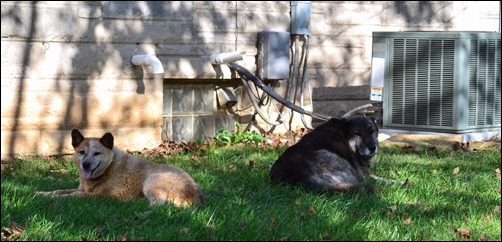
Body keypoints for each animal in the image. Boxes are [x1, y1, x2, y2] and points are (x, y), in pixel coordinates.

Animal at [34, 130, 204, 207]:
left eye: (97, 153)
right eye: (82, 152)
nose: (86, 165)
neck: (109, 168)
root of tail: (197, 197)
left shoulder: (101, 195)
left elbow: (73, 195)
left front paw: (55, 199)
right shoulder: (83, 188)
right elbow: (59, 190)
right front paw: (41, 193)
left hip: (151, 179)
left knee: (159, 203)